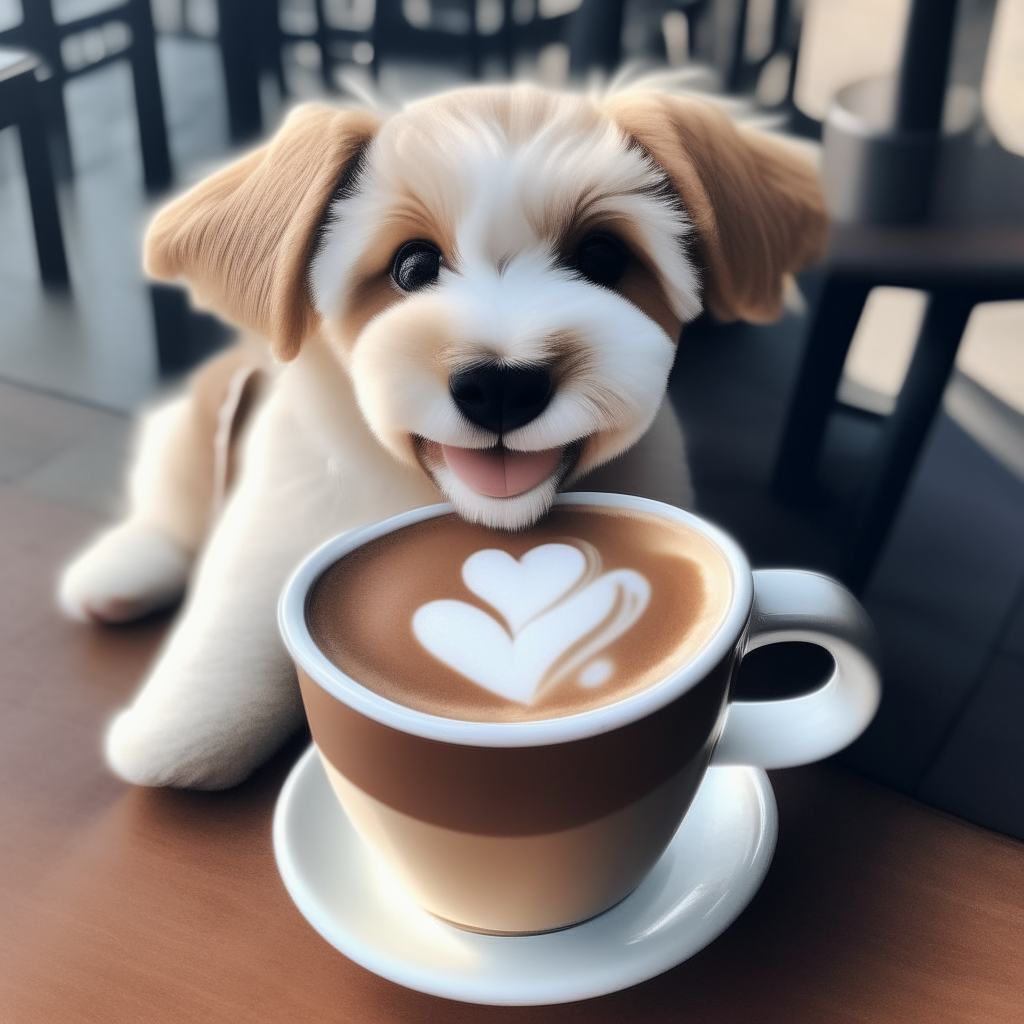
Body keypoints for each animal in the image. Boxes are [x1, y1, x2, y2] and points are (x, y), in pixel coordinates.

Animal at [56, 86, 827, 790]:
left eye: (603, 258)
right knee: (170, 497)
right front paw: (178, 722)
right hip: (188, 426)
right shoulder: (287, 500)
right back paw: (122, 572)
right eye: (413, 266)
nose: (502, 385)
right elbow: (217, 682)